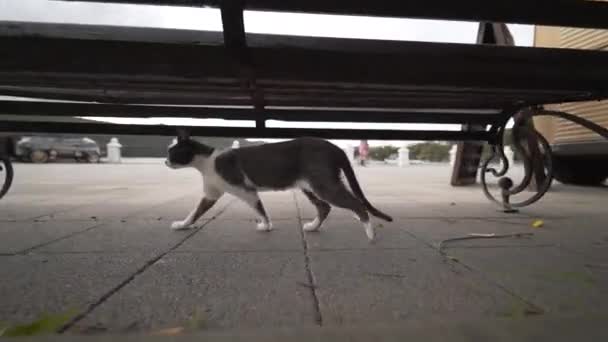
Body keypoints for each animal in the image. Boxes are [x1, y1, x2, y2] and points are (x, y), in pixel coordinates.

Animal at [165, 132, 394, 240]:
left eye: (172, 152)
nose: (165, 161)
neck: (207, 162)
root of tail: (335, 147)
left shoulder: (246, 190)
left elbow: (260, 209)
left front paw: (266, 226)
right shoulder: (211, 193)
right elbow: (195, 212)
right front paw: (183, 224)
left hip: (322, 183)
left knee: (356, 204)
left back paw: (369, 232)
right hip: (309, 185)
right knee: (325, 207)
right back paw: (313, 227)